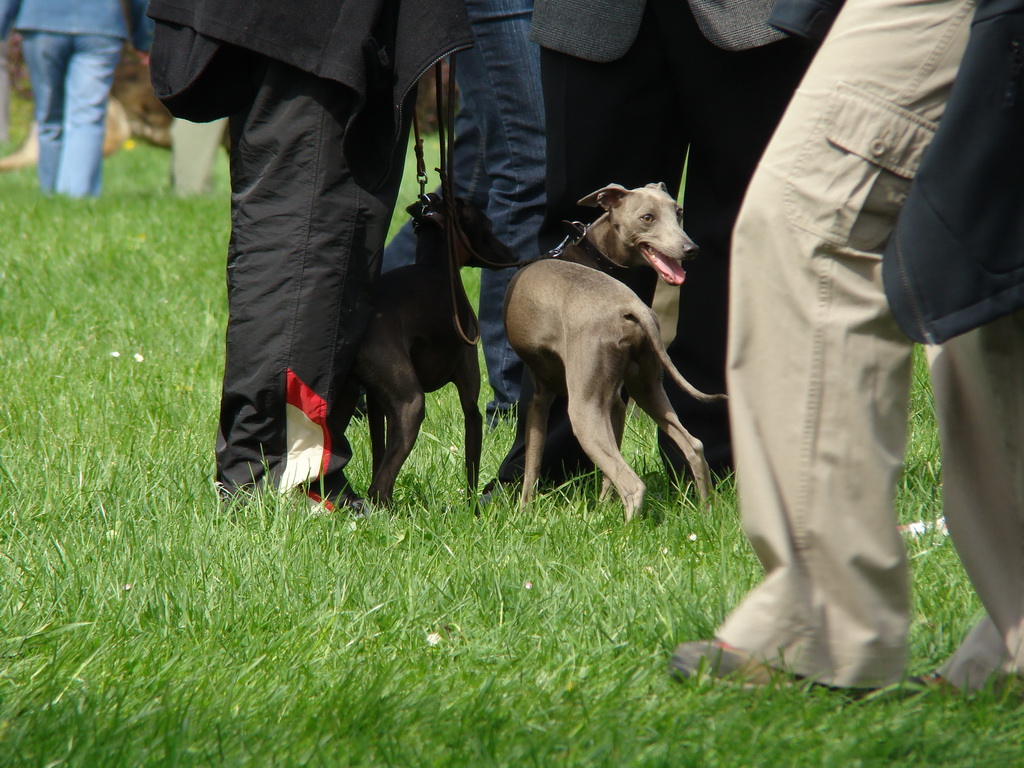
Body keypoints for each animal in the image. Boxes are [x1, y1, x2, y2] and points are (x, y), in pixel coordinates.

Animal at [505, 182, 729, 520]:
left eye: (678, 213)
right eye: (648, 217)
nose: (691, 249)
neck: (589, 254)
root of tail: (633, 306)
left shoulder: (539, 397)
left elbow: (532, 462)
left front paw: (523, 512)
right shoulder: (617, 403)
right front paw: (601, 507)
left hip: (583, 410)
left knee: (632, 483)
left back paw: (624, 528)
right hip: (648, 387)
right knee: (693, 445)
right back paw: (705, 513)